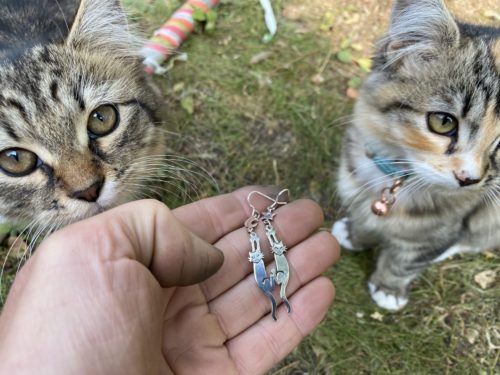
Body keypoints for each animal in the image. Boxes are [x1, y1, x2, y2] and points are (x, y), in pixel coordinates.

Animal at [332, 0, 500, 312]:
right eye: (443, 122)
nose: (468, 179)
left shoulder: (443, 227)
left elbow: (407, 260)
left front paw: (388, 288)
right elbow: (364, 219)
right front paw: (355, 234)